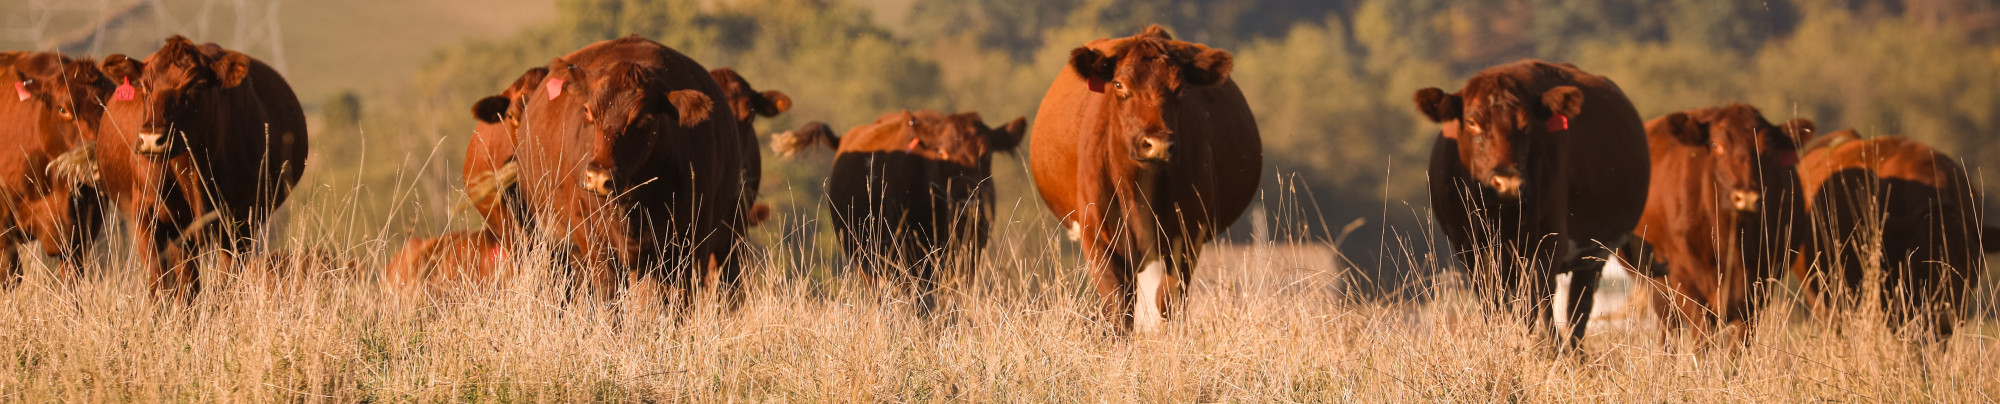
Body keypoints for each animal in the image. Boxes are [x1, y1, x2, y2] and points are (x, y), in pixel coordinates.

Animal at [94, 36, 310, 300]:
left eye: (195, 86)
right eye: (144, 86)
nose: (151, 139)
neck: (191, 169)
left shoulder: (238, 223)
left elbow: (224, 283)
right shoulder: (147, 217)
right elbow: (160, 284)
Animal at [1028, 25, 1262, 334]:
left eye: (1181, 88)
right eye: (1119, 85)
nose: (1157, 144)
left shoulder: (1187, 235)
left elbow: (1168, 300)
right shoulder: (1097, 235)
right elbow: (1118, 304)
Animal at [1415, 60, 1650, 350]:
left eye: (1527, 126)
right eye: (1472, 122)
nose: (1508, 182)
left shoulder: (1547, 243)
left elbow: (1534, 309)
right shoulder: (1470, 248)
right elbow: (1494, 307)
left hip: (1594, 255)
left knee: (1577, 311)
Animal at [1621, 104, 1813, 345]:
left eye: (1767, 147)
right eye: (1716, 145)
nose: (1746, 197)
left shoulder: (1760, 287)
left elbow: (1738, 344)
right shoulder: (1685, 281)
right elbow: (1703, 337)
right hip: (1654, 281)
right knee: (1669, 329)